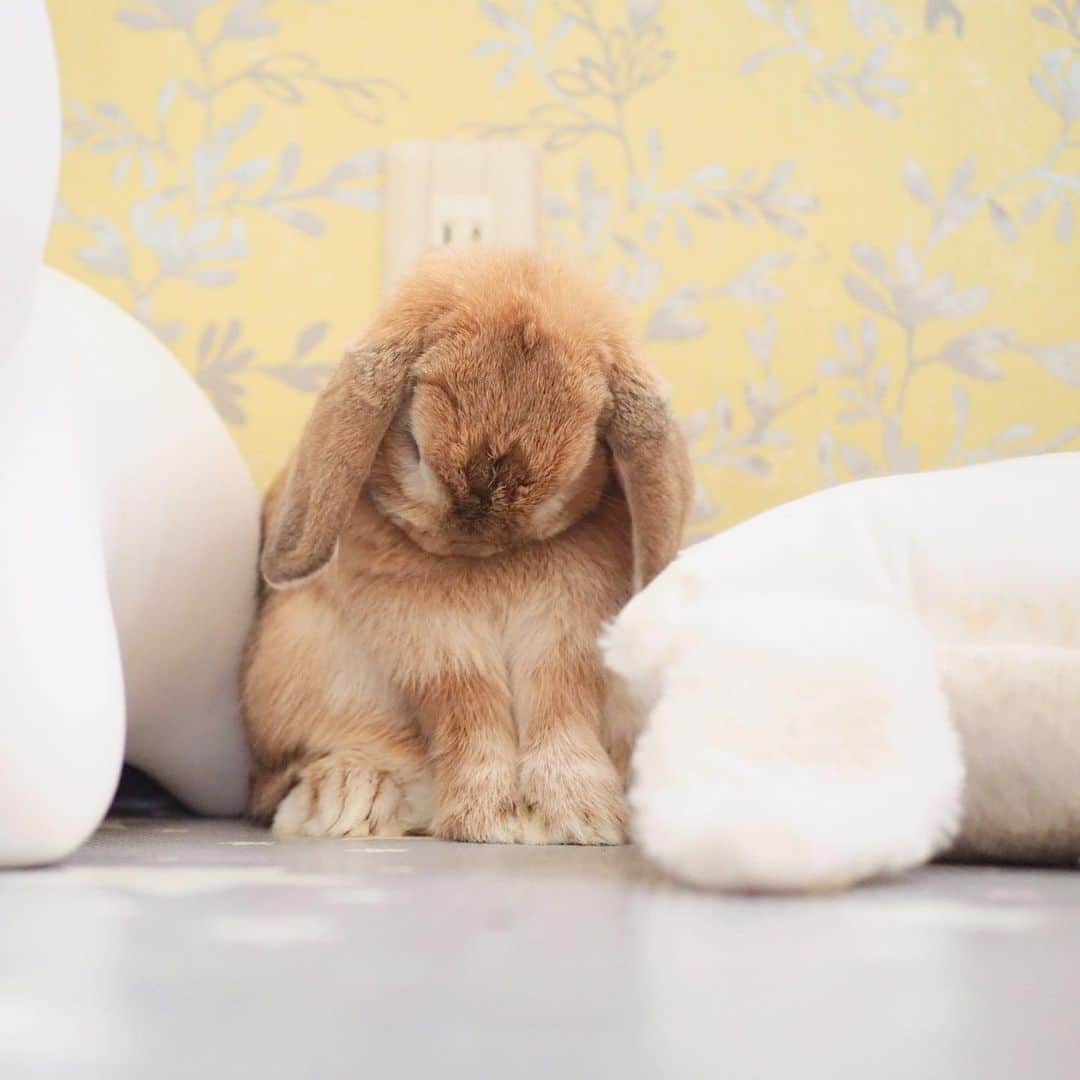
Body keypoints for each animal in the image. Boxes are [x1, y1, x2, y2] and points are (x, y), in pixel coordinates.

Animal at [242, 247, 692, 844]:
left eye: (574, 471)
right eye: (413, 445)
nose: (473, 537)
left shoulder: (568, 635)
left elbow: (561, 705)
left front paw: (579, 817)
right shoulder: (431, 642)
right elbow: (466, 706)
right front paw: (490, 817)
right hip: (299, 666)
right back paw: (346, 799)